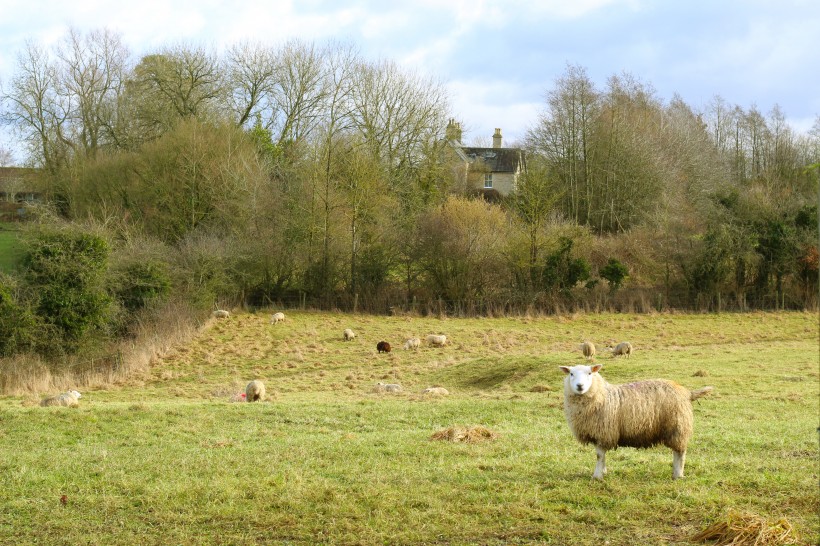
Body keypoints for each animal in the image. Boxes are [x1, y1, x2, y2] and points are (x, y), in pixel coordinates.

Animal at [556, 364, 712, 478]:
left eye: (589, 373)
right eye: (571, 374)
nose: (580, 386)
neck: (601, 396)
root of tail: (687, 393)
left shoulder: (604, 432)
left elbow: (599, 456)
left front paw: (597, 476)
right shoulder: (598, 433)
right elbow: (602, 455)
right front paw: (603, 471)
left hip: (677, 426)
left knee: (680, 452)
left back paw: (678, 475)